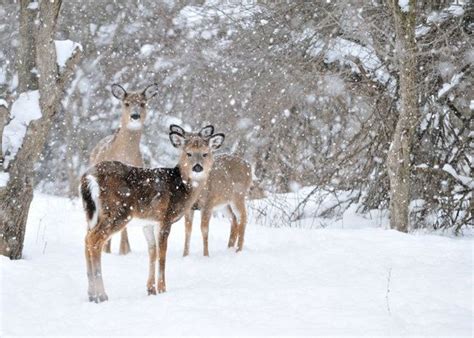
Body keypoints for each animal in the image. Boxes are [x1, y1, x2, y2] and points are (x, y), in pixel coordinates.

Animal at [80, 125, 224, 304]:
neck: (182, 189)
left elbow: (152, 252)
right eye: (188, 153)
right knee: (94, 239)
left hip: (91, 213)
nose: (197, 167)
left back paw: (91, 294)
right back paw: (101, 294)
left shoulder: (148, 222)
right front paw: (162, 289)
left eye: (205, 153)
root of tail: (89, 177)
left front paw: (151, 289)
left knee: (86, 238)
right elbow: (162, 254)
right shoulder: (165, 218)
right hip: (118, 212)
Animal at [169, 125, 252, 258]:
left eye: (205, 154)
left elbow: (204, 229)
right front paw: (185, 255)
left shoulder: (208, 203)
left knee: (243, 217)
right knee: (233, 219)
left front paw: (206, 255)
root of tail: (249, 165)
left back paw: (238, 250)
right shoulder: (189, 206)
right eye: (188, 153)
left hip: (238, 196)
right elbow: (188, 230)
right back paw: (229, 248)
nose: (197, 167)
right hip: (224, 203)